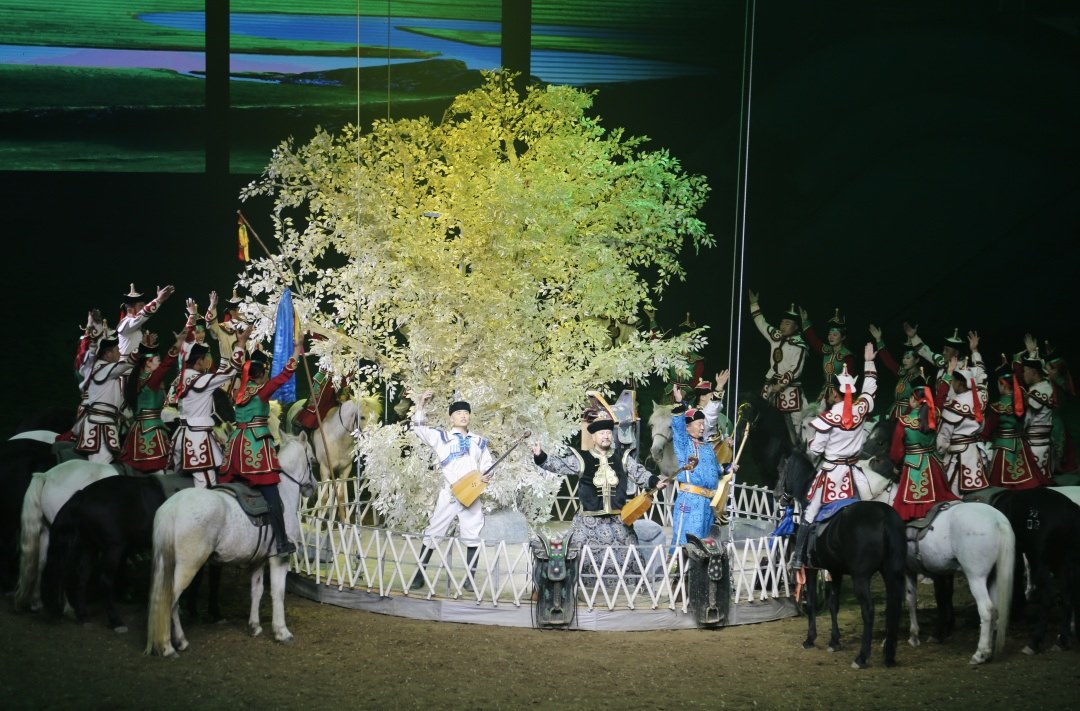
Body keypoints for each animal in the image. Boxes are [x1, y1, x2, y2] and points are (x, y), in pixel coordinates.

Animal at [14, 459, 119, 612]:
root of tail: (46, 475)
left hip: (47, 530)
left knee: (41, 563)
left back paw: (36, 602)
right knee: (64, 564)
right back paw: (68, 607)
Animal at [40, 475, 168, 631]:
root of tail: (82, 497)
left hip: (90, 546)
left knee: (82, 576)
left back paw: (83, 616)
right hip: (113, 549)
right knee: (105, 581)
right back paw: (116, 621)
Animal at [145, 433, 315, 657]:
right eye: (312, 459)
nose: (312, 488)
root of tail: (172, 507)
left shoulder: (258, 559)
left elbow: (256, 590)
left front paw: (254, 626)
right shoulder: (279, 558)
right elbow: (277, 593)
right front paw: (282, 632)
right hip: (187, 567)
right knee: (171, 602)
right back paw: (172, 645)